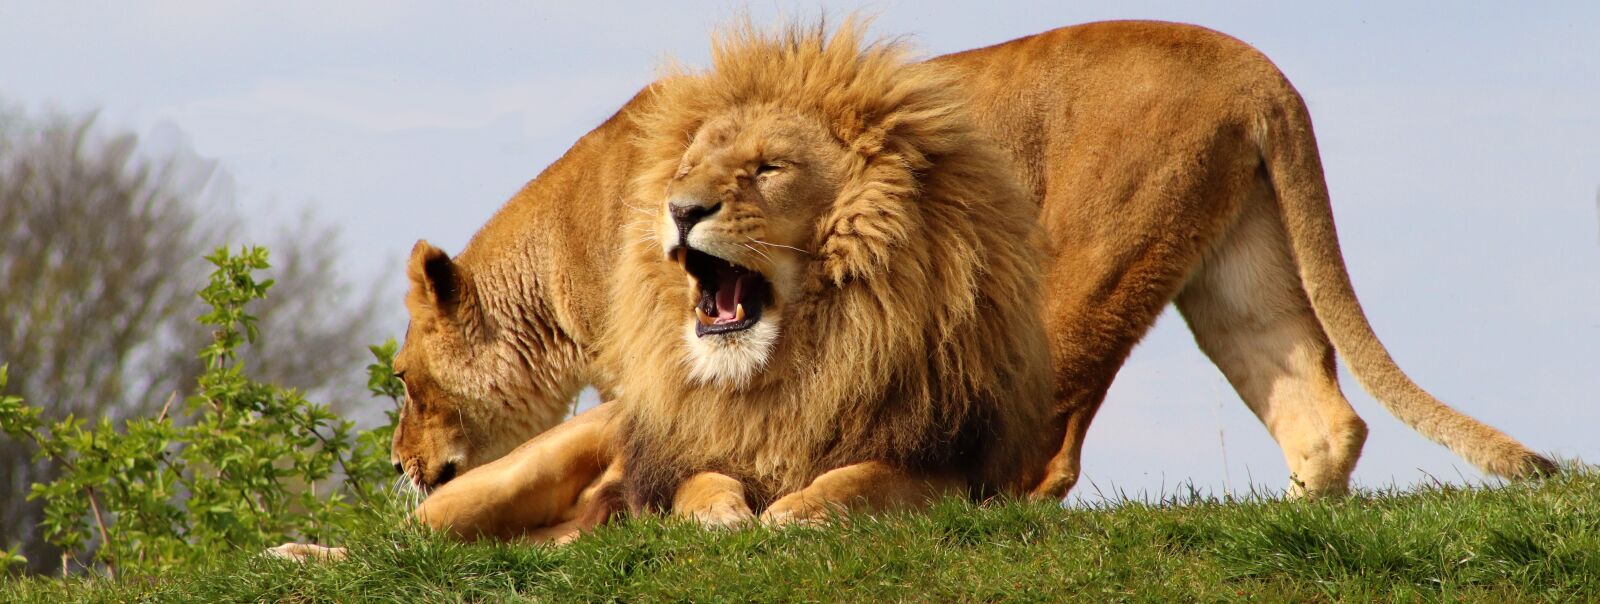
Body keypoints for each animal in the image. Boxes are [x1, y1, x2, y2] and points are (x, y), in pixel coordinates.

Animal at [336, 19, 1553, 547]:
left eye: (409, 383)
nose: (399, 461)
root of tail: (1263, 72)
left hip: (1074, 273)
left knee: (1036, 454)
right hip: (1236, 268)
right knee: (1322, 414)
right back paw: (1302, 523)